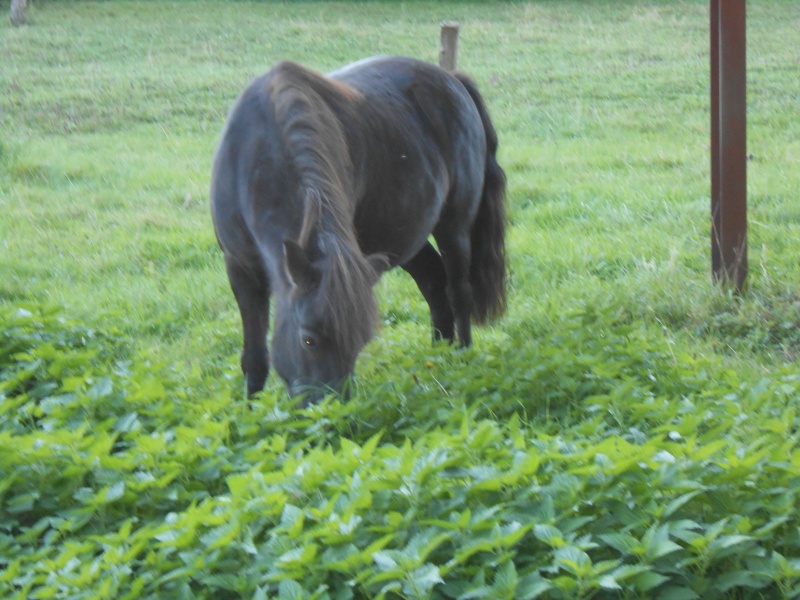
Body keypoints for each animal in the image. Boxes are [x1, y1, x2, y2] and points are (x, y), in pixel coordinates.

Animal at [209, 56, 504, 404]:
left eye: (358, 344)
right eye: (308, 339)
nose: (331, 409)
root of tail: (453, 80)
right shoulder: (239, 268)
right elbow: (254, 358)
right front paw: (249, 410)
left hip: (454, 226)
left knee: (459, 293)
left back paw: (461, 359)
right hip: (406, 238)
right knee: (435, 285)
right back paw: (438, 359)